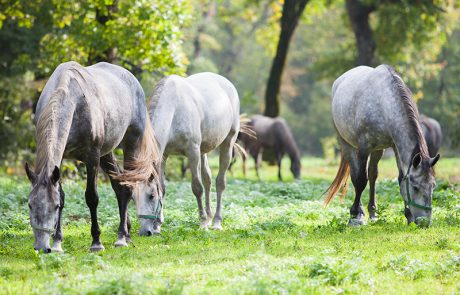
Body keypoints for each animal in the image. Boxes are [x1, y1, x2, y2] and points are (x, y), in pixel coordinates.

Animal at [24, 61, 160, 253]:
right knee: (119, 187)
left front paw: (96, 242)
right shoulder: (61, 160)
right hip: (106, 153)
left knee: (128, 186)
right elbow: (62, 195)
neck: (74, 100)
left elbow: (92, 197)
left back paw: (121, 238)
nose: (42, 247)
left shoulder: (92, 157)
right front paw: (58, 243)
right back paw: (126, 233)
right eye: (30, 204)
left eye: (54, 207)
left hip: (130, 144)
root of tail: (131, 79)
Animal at [137, 72, 243, 236]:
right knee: (208, 179)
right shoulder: (163, 156)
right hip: (203, 150)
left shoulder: (192, 152)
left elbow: (197, 188)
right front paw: (158, 225)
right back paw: (210, 217)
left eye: (151, 196)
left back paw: (216, 222)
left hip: (227, 144)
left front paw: (203, 222)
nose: (144, 232)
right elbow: (163, 187)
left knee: (220, 183)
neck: (174, 108)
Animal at [326, 65, 440, 227]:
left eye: (433, 185)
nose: (425, 222)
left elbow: (400, 178)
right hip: (347, 143)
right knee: (356, 175)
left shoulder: (395, 147)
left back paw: (373, 212)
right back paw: (359, 212)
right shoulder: (364, 147)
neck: (385, 103)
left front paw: (408, 216)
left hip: (378, 149)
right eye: (415, 187)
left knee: (373, 175)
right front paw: (355, 216)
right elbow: (360, 180)